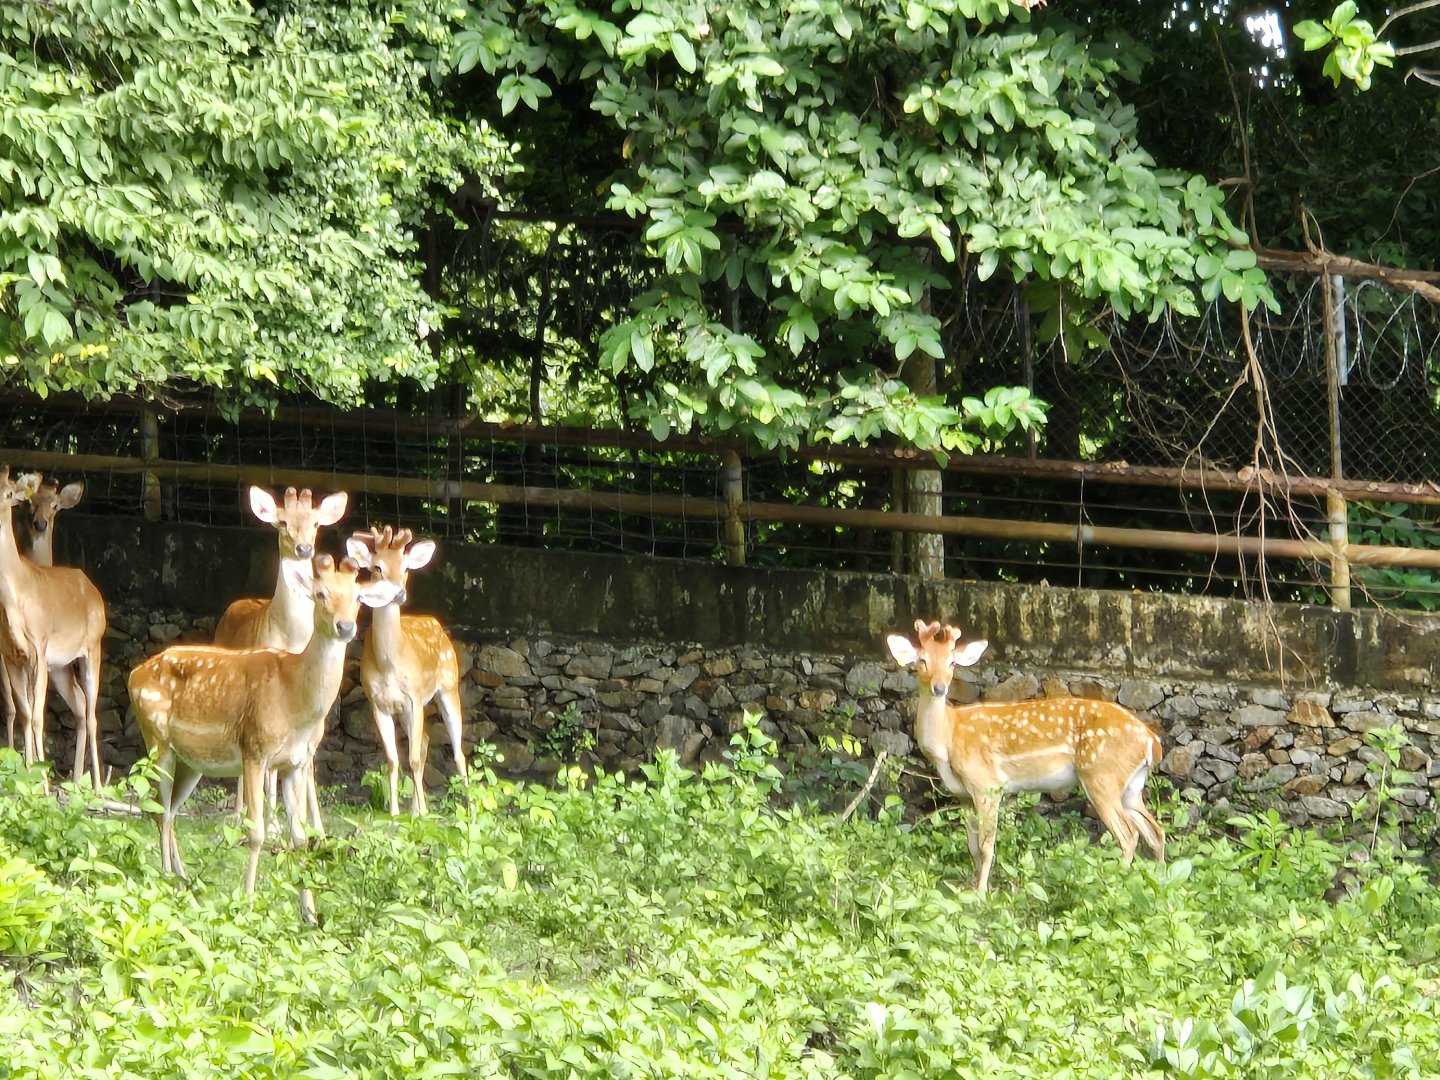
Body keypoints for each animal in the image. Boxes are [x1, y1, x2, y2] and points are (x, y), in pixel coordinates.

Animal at [0, 468, 107, 786]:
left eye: (9, 494)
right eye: (27, 503)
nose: (40, 523)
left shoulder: (39, 648)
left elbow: (36, 717)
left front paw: (41, 778)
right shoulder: (12, 656)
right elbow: (24, 712)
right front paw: (26, 770)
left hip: (92, 647)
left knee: (92, 712)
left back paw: (97, 785)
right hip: (60, 667)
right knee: (80, 705)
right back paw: (75, 778)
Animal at [129, 554, 400, 919]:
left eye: (358, 597)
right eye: (321, 594)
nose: (345, 627)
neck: (293, 700)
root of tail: (133, 673)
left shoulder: (295, 762)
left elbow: (299, 836)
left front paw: (309, 912)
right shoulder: (254, 749)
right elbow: (256, 831)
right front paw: (246, 901)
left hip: (192, 762)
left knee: (169, 812)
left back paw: (184, 882)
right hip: (155, 737)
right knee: (158, 811)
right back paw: (167, 880)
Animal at [213, 485, 348, 833]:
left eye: (316, 522)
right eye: (283, 521)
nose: (303, 548)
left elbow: (306, 760)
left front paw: (313, 823)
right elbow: (270, 767)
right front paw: (272, 822)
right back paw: (238, 812)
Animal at [345, 526, 467, 815]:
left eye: (406, 568)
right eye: (377, 567)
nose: (398, 593)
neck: (390, 665)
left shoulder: (414, 697)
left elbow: (411, 759)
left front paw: (420, 814)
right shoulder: (377, 703)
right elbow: (392, 759)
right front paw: (395, 812)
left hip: (448, 685)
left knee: (458, 752)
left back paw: (469, 809)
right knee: (424, 741)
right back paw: (418, 807)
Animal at [886, 619, 1165, 893]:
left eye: (952, 662)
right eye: (922, 660)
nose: (939, 688)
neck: (948, 738)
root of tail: (1152, 741)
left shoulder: (987, 784)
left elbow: (986, 846)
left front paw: (981, 894)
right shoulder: (963, 794)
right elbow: (972, 846)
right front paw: (970, 887)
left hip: (1101, 776)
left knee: (1129, 835)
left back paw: (1115, 885)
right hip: (1131, 785)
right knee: (1156, 832)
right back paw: (1157, 881)